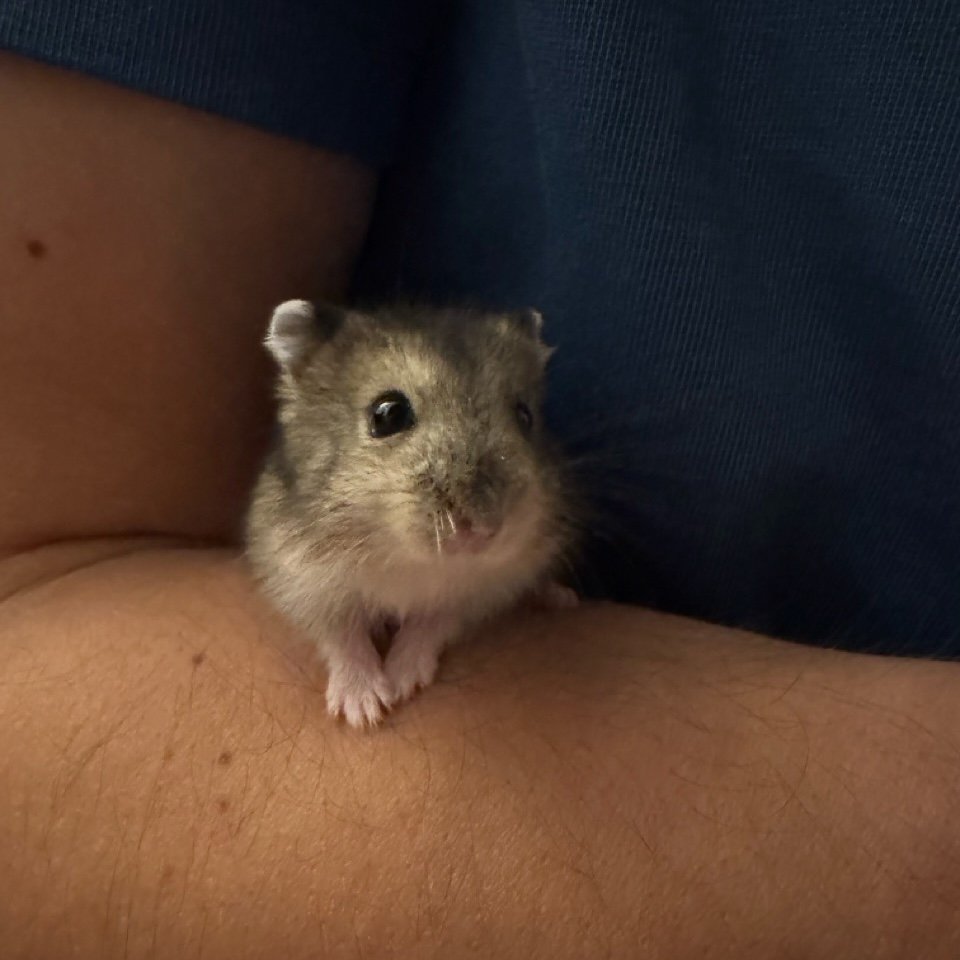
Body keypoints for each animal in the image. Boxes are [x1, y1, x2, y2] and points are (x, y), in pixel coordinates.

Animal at [246, 300, 577, 728]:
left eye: (525, 416)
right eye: (387, 414)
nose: (483, 531)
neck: (406, 555)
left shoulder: (480, 590)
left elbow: (431, 623)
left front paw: (401, 683)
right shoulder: (300, 576)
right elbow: (342, 633)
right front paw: (365, 710)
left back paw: (560, 598)